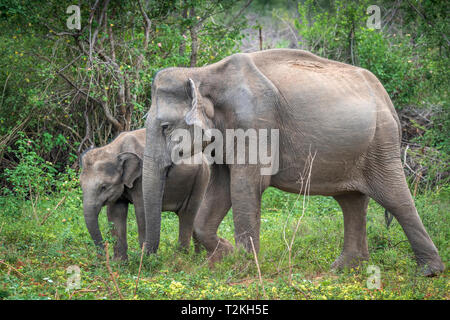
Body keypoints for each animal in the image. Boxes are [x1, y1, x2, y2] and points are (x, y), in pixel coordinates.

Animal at [79, 127, 209, 260]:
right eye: (80, 185)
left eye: (103, 187)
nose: (103, 255)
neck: (115, 148)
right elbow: (115, 213)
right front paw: (119, 262)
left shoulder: (141, 179)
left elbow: (141, 211)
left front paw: (145, 259)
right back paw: (198, 256)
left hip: (201, 179)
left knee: (187, 214)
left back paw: (181, 258)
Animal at [142, 48, 444, 276]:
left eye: (166, 127)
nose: (150, 260)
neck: (202, 73)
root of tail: (387, 99)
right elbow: (221, 189)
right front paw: (224, 257)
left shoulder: (256, 122)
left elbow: (245, 185)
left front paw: (244, 267)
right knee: (351, 201)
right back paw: (345, 268)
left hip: (380, 143)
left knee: (395, 198)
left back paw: (429, 272)